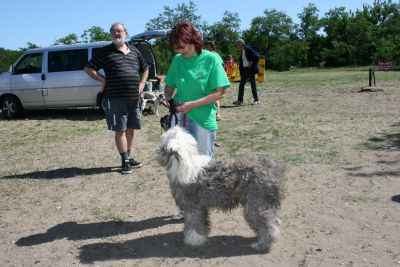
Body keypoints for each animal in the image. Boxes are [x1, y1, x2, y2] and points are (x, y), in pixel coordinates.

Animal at [156, 127, 284, 253]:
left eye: (162, 142)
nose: (156, 153)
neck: (182, 164)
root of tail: (272, 169)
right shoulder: (201, 207)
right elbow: (202, 223)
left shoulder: (192, 207)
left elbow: (194, 224)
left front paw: (193, 240)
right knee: (274, 221)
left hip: (256, 206)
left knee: (270, 226)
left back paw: (261, 245)